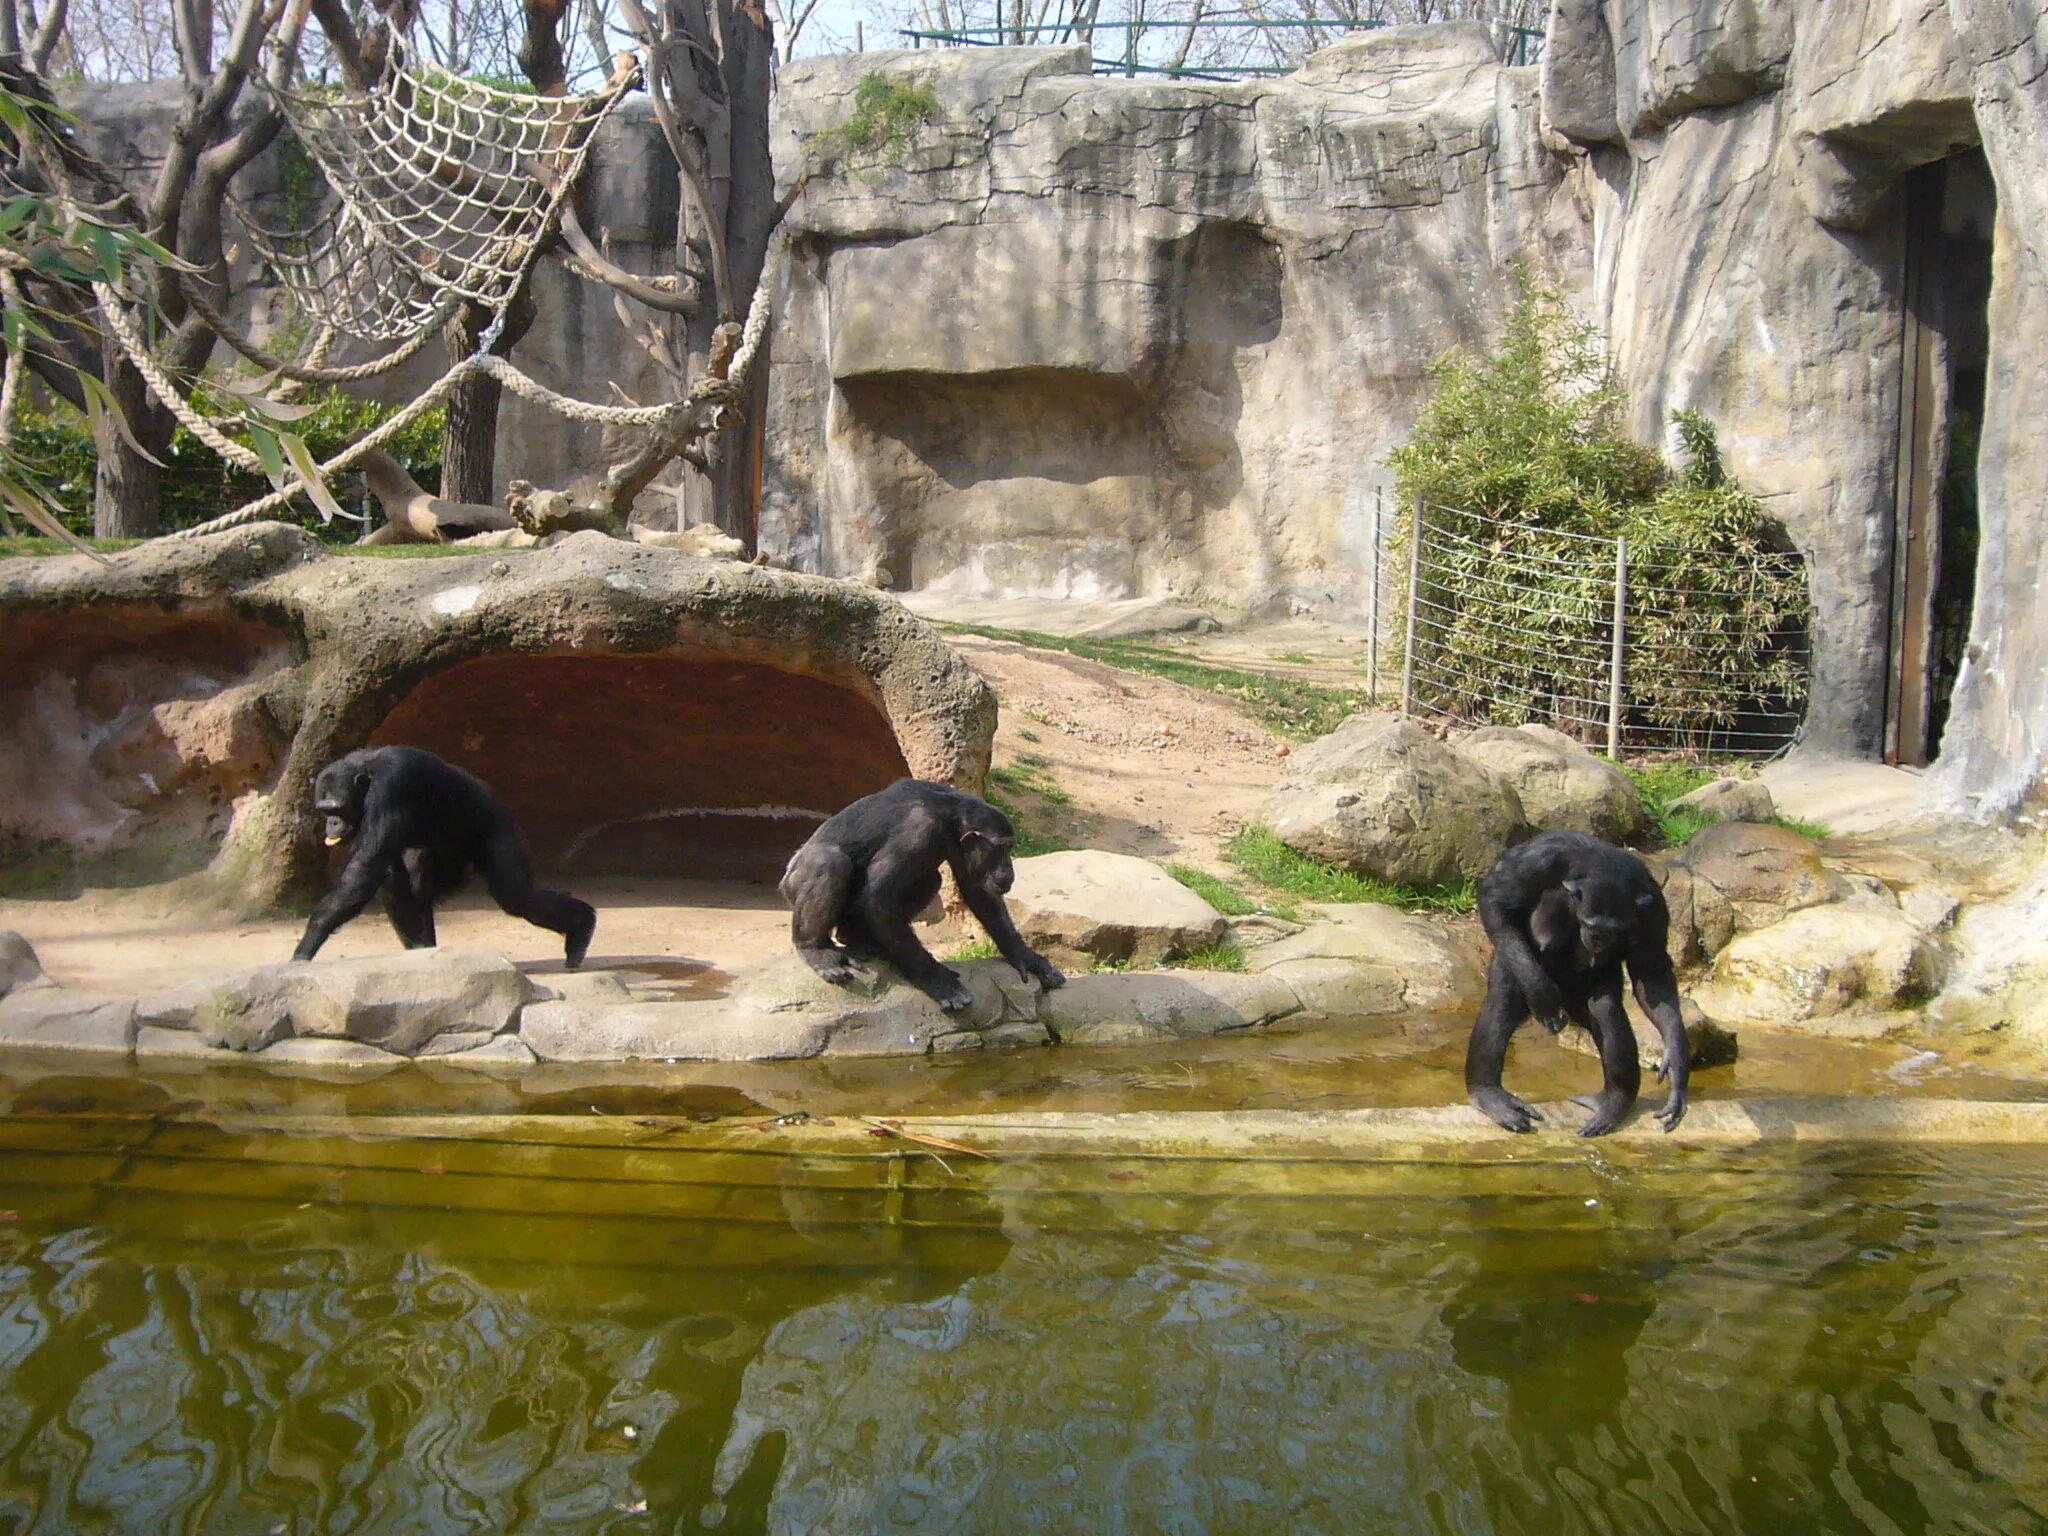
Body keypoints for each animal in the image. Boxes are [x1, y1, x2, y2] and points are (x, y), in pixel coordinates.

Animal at [288, 749, 598, 974]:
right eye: (324, 810)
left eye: (336, 809)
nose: (331, 824)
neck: (366, 778)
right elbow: (379, 869)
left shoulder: (389, 791)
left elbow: (364, 870)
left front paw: (305, 947)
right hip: (446, 852)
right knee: (416, 884)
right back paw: (424, 948)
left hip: (496, 825)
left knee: (514, 893)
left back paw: (581, 927)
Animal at [778, 782, 1073, 1011]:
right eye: (1002, 849)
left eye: (1010, 847)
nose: (1008, 867)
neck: (952, 816)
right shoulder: (919, 832)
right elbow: (877, 895)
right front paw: (940, 982)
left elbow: (979, 891)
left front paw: (1027, 958)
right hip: (796, 883)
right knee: (830, 863)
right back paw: (817, 951)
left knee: (932, 878)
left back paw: (860, 939)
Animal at [1466, 831, 1687, 1146]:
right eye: (1591, 924)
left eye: (1615, 930)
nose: (1597, 940)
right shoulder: (1539, 858)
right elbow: (1495, 899)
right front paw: (1542, 994)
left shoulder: (1654, 906)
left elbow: (1652, 974)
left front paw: (1677, 1063)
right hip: (1511, 961)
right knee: (1502, 1003)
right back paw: (1489, 1094)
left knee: (1606, 1012)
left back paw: (1613, 1102)